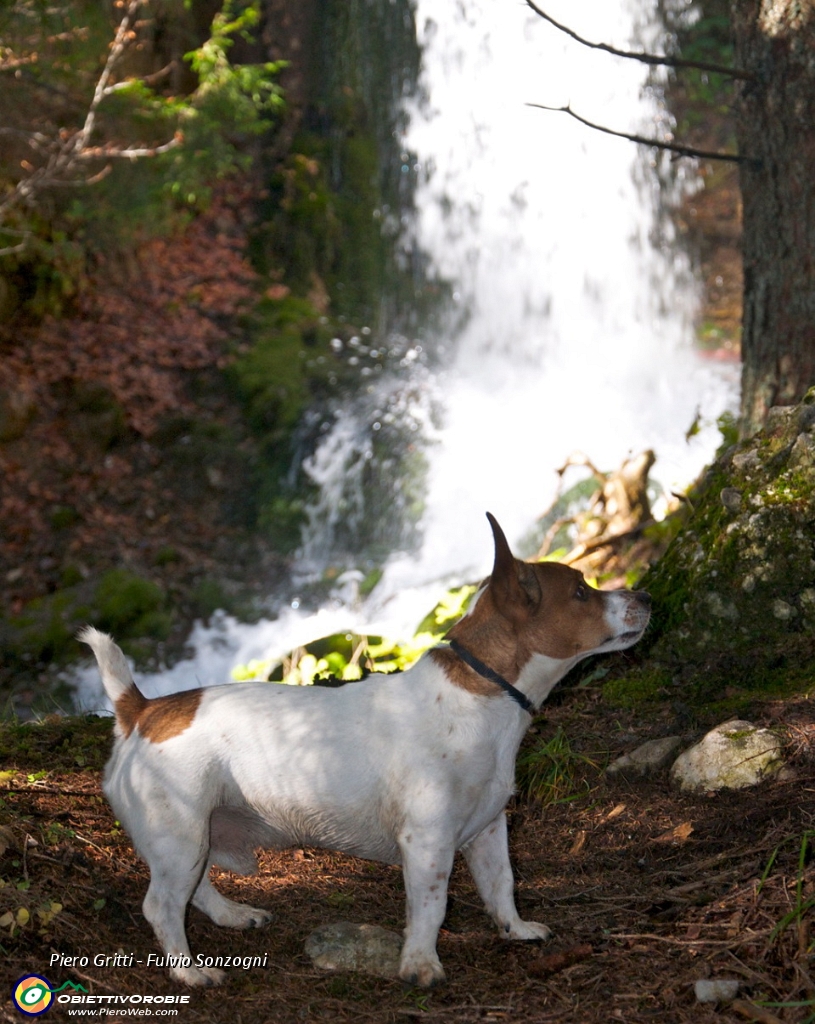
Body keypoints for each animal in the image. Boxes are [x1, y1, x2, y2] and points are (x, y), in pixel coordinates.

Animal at [77, 516, 651, 987]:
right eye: (581, 591)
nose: (646, 595)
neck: (483, 693)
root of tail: (140, 710)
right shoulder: (427, 842)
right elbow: (431, 907)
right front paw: (420, 966)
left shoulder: (490, 830)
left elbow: (501, 885)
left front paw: (515, 929)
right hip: (181, 833)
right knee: (162, 905)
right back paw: (189, 971)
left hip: (194, 838)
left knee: (193, 892)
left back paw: (234, 915)